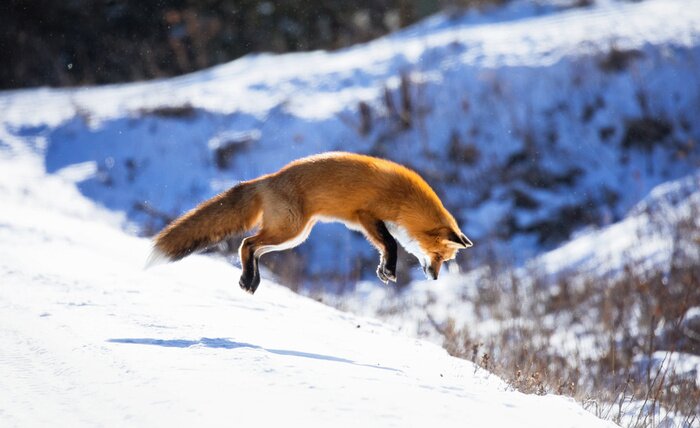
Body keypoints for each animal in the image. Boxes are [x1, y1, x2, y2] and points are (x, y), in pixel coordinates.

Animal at [147, 152, 473, 294]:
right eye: (439, 256)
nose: (435, 278)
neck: (406, 202)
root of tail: (266, 179)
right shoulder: (366, 216)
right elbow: (391, 244)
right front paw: (390, 270)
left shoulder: (372, 225)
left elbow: (385, 247)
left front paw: (383, 270)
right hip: (289, 230)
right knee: (246, 243)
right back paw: (248, 280)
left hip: (295, 235)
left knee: (254, 248)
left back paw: (252, 280)